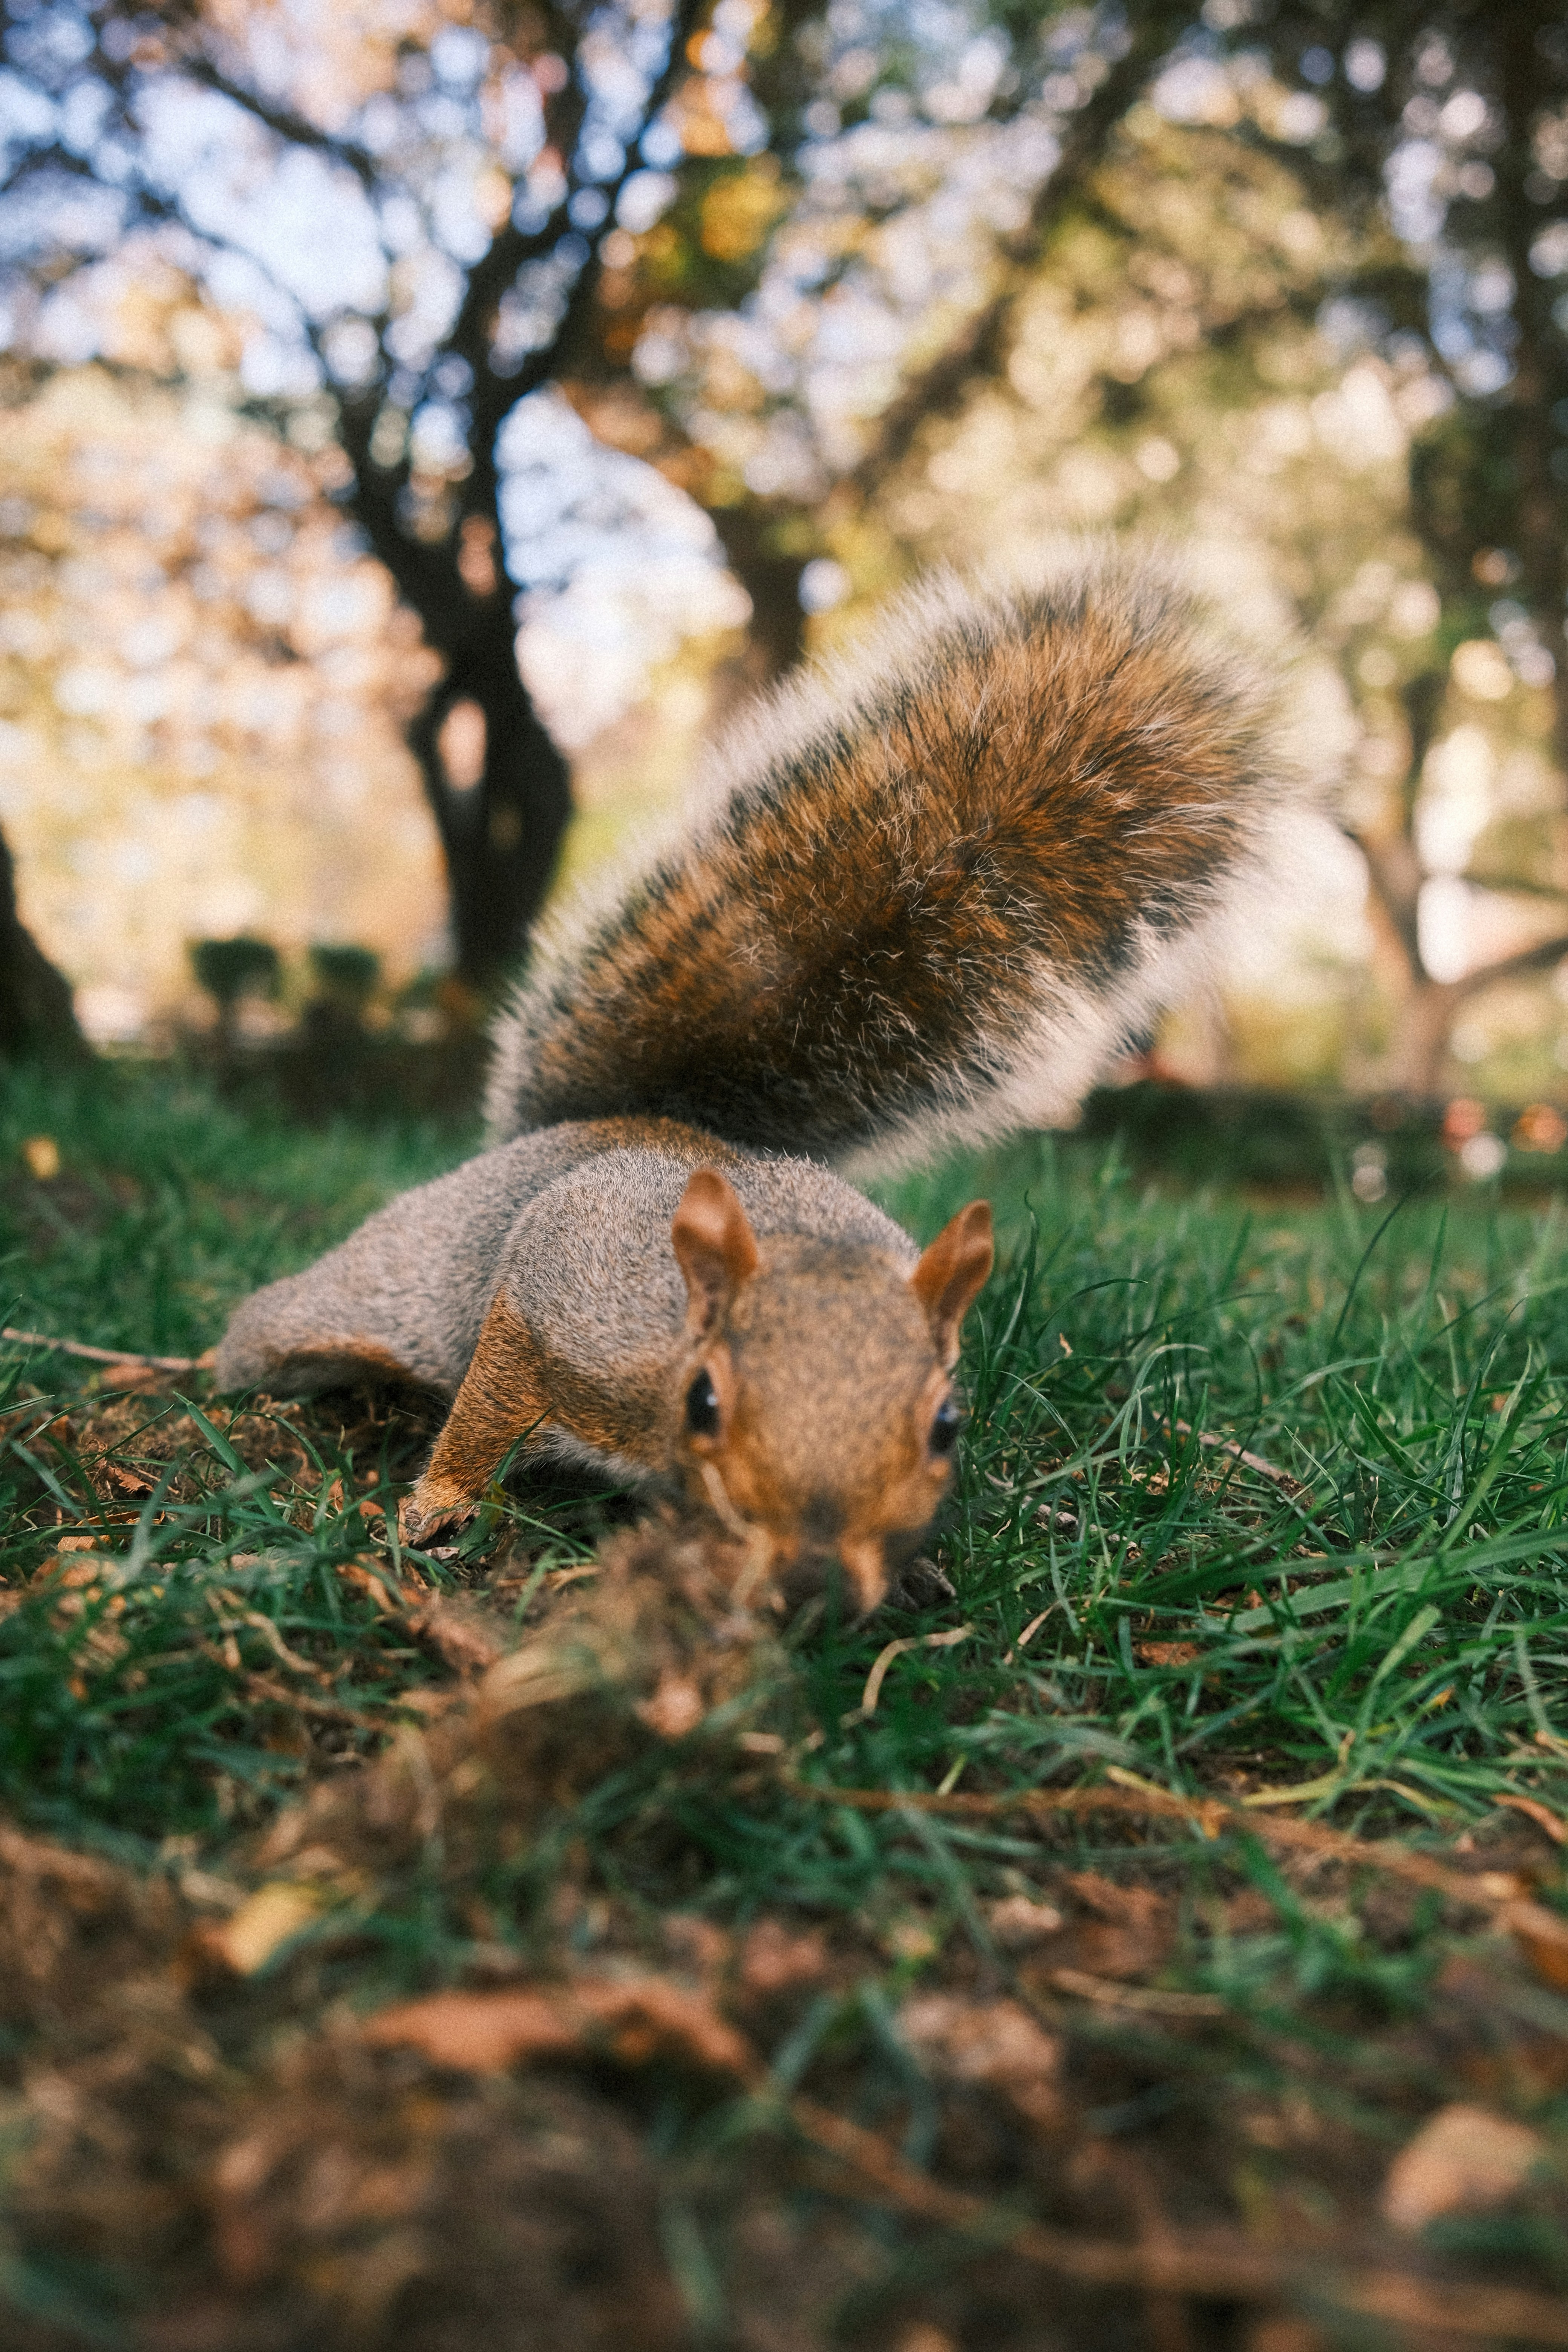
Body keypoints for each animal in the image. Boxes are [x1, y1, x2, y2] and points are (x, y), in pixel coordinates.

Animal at [215, 546, 1293, 1612]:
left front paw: (914, 1573)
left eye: (946, 1424)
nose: (817, 1574)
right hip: (384, 1278)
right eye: (705, 1401)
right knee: (286, 1326)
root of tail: (620, 1123)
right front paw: (437, 1503)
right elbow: (491, 1401)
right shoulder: (562, 1308)